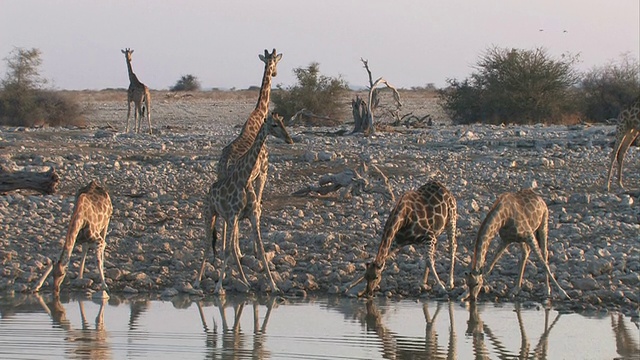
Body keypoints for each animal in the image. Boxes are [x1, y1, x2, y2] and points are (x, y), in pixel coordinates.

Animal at [196, 113, 282, 296]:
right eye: (274, 124)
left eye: (281, 123)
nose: (289, 139)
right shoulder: (235, 213)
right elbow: (229, 249)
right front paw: (218, 287)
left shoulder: (248, 215)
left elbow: (260, 249)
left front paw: (273, 285)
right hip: (210, 215)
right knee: (207, 245)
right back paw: (197, 281)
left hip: (225, 216)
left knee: (230, 246)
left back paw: (244, 280)